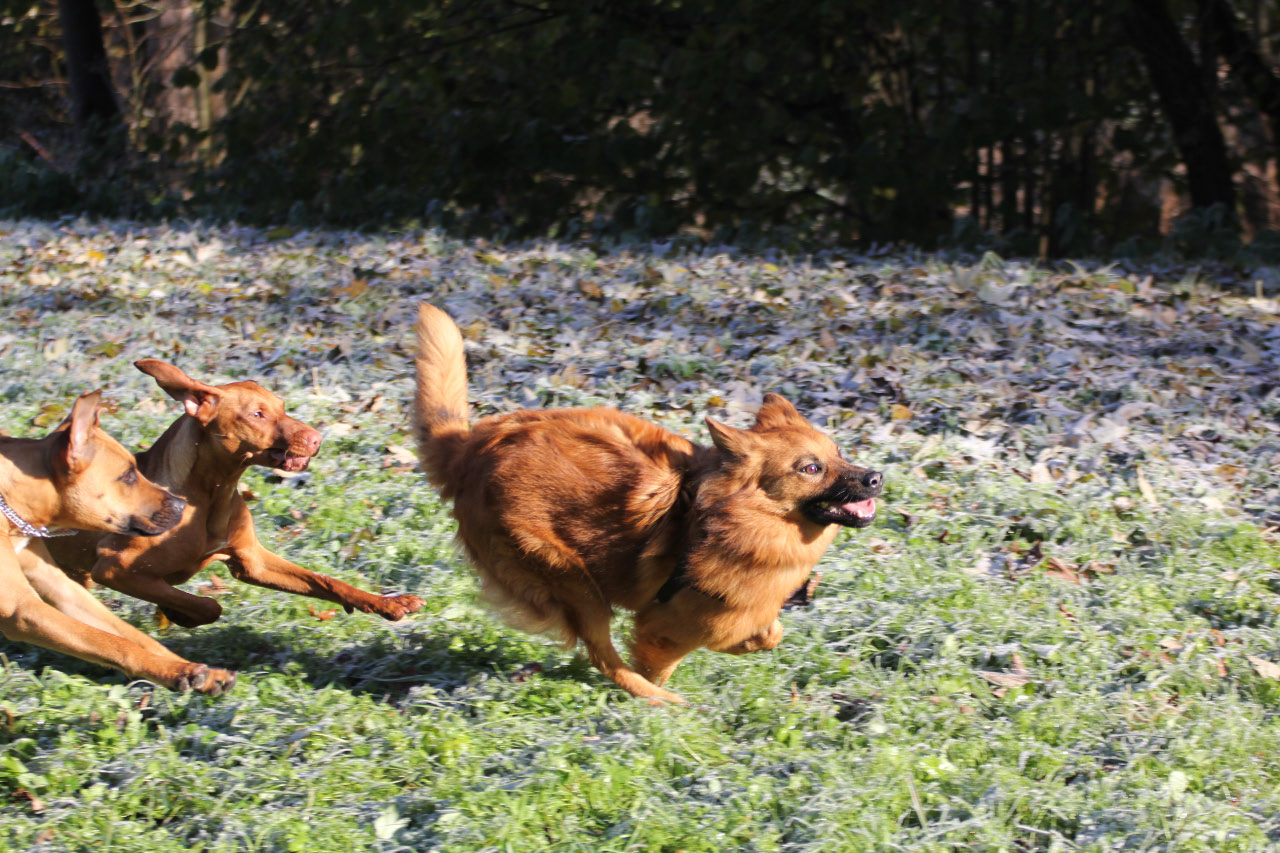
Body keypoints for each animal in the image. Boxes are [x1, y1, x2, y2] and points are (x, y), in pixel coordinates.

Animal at [1, 390, 236, 694]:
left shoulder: (61, 588)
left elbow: (130, 635)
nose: (182, 505)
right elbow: (115, 643)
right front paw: (176, 672)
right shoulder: (22, 608)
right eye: (128, 476)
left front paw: (195, 670)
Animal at [48, 361, 424, 627]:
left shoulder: (252, 560)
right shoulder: (115, 568)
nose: (317, 438)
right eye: (257, 414)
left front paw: (387, 602)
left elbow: (327, 581)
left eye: (282, 406)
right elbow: (208, 605)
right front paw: (179, 613)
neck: (212, 493)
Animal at [413, 304, 882, 702]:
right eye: (810, 468)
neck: (731, 520)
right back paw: (658, 702)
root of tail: (470, 449)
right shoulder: (664, 627)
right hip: (570, 578)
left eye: (839, 452)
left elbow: (769, 633)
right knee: (603, 655)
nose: (876, 478)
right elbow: (664, 656)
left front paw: (749, 642)